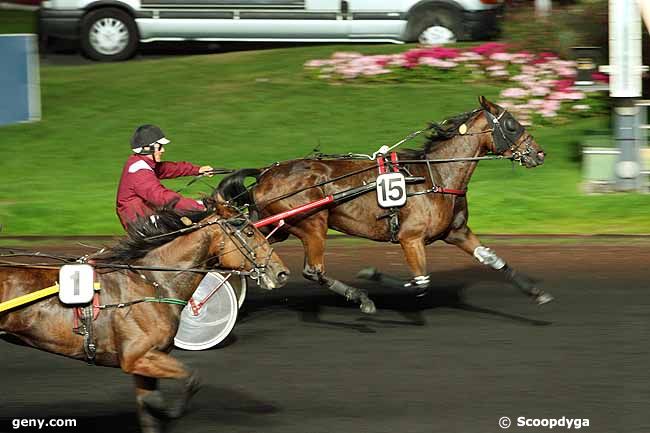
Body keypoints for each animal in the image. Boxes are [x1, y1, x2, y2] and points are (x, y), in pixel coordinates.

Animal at [0, 201, 288, 432]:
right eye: (249, 232)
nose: (281, 272)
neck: (153, 282)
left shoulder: (145, 364)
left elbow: (148, 411)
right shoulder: (137, 357)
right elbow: (190, 378)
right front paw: (169, 410)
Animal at [218, 97, 552, 314]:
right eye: (511, 125)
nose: (539, 153)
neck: (435, 175)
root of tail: (264, 174)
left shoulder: (457, 232)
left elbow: (493, 260)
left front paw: (537, 292)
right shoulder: (411, 238)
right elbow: (420, 282)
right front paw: (371, 275)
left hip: (279, 227)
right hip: (312, 223)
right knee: (314, 270)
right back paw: (360, 297)